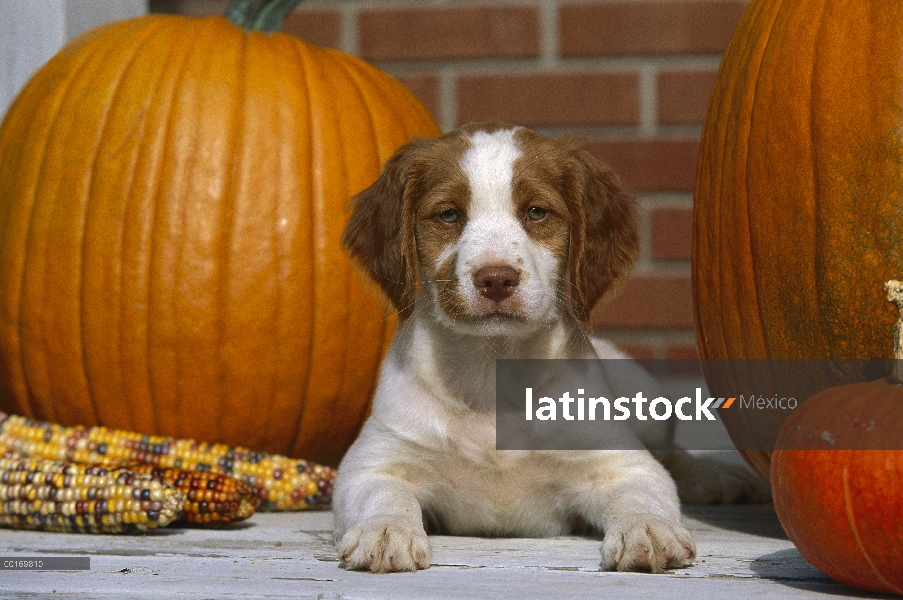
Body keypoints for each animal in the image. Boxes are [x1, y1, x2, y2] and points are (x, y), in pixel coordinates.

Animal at [336, 123, 760, 576]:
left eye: (536, 212)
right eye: (448, 215)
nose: (496, 279)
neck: (492, 367)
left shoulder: (618, 462)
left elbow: (641, 492)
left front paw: (648, 530)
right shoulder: (375, 460)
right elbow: (383, 494)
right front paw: (384, 531)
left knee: (672, 456)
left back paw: (719, 477)